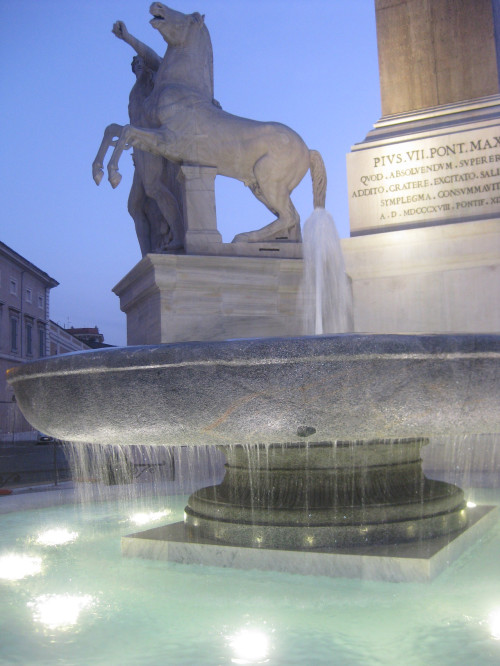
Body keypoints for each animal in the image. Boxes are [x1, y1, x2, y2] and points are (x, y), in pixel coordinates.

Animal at [105, 3, 326, 243]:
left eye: (189, 18)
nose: (157, 5)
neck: (181, 88)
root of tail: (308, 150)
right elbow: (113, 129)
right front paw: (97, 171)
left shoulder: (169, 141)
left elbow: (127, 130)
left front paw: (113, 176)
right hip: (259, 186)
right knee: (291, 216)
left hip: (268, 180)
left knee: (288, 216)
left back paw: (244, 237)